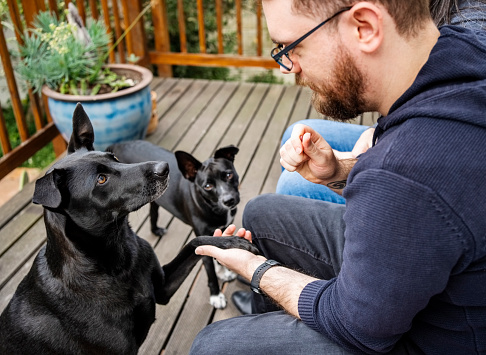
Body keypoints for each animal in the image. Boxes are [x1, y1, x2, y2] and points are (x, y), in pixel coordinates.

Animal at [108, 140, 241, 308]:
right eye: (208, 186)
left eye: (229, 175)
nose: (229, 200)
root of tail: (117, 145)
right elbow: (210, 272)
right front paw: (216, 296)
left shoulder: (220, 231)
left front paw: (223, 271)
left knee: (153, 213)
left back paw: (156, 230)